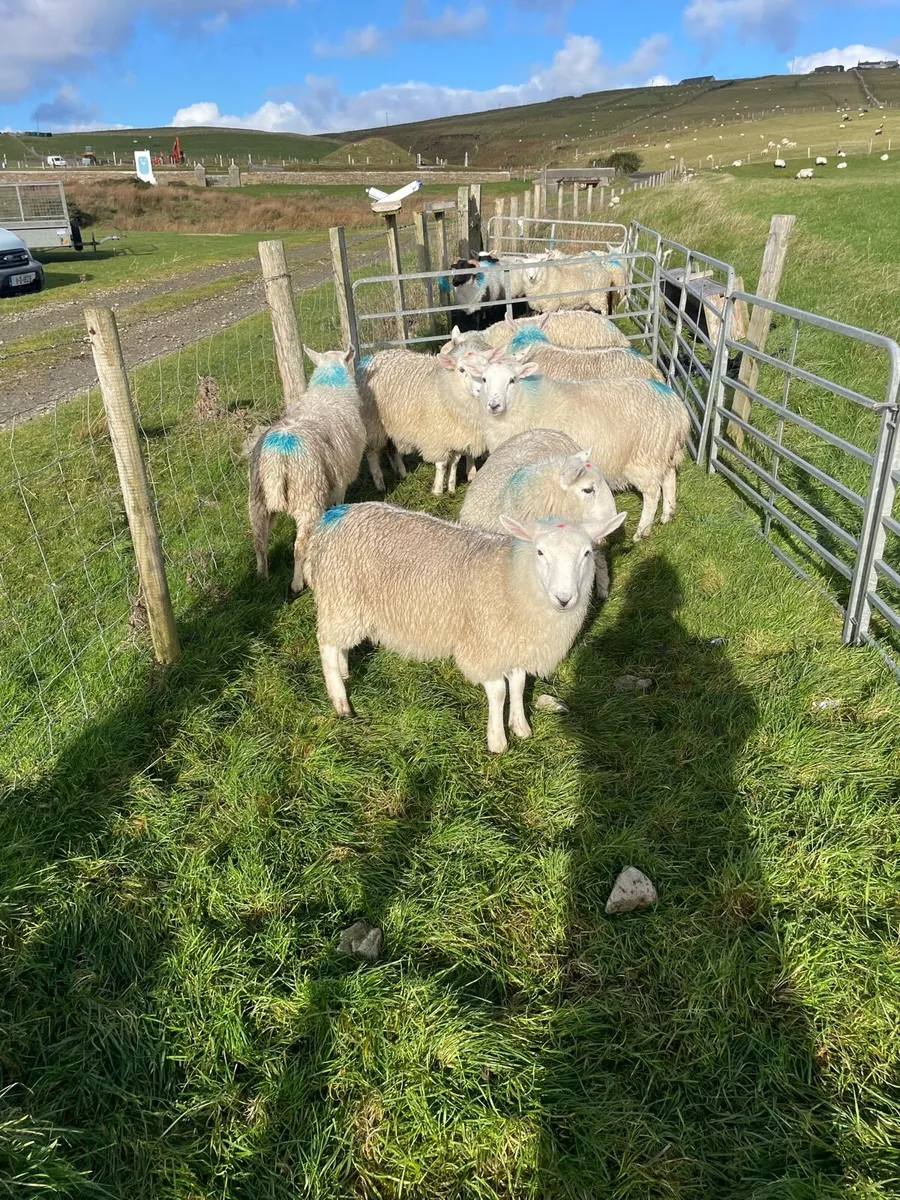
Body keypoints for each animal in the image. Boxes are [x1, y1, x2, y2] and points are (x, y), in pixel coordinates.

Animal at [249, 347, 365, 594]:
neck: (329, 387)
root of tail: (278, 457)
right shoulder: (340, 480)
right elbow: (338, 502)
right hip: (308, 496)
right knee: (299, 546)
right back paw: (297, 583)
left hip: (257, 499)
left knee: (259, 540)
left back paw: (262, 576)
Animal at [305, 501, 625, 753]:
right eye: (540, 553)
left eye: (586, 553)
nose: (564, 599)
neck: (509, 577)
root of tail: (335, 515)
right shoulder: (484, 645)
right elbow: (499, 691)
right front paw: (498, 741)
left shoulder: (513, 642)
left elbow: (519, 683)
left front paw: (521, 727)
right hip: (342, 597)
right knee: (326, 644)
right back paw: (340, 701)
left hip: (345, 604)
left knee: (339, 644)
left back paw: (345, 672)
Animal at [357, 345, 485, 496]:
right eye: (462, 369)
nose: (480, 390)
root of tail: (374, 355)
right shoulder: (437, 437)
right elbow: (442, 465)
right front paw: (437, 491)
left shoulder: (456, 436)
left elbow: (454, 463)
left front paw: (451, 488)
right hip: (372, 420)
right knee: (372, 453)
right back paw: (379, 483)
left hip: (391, 423)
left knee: (391, 448)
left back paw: (401, 472)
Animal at [463, 350, 691, 541]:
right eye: (484, 379)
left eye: (512, 380)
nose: (494, 405)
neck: (525, 401)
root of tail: (677, 409)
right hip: (663, 452)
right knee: (669, 477)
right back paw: (668, 514)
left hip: (643, 457)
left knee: (652, 493)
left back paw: (642, 531)